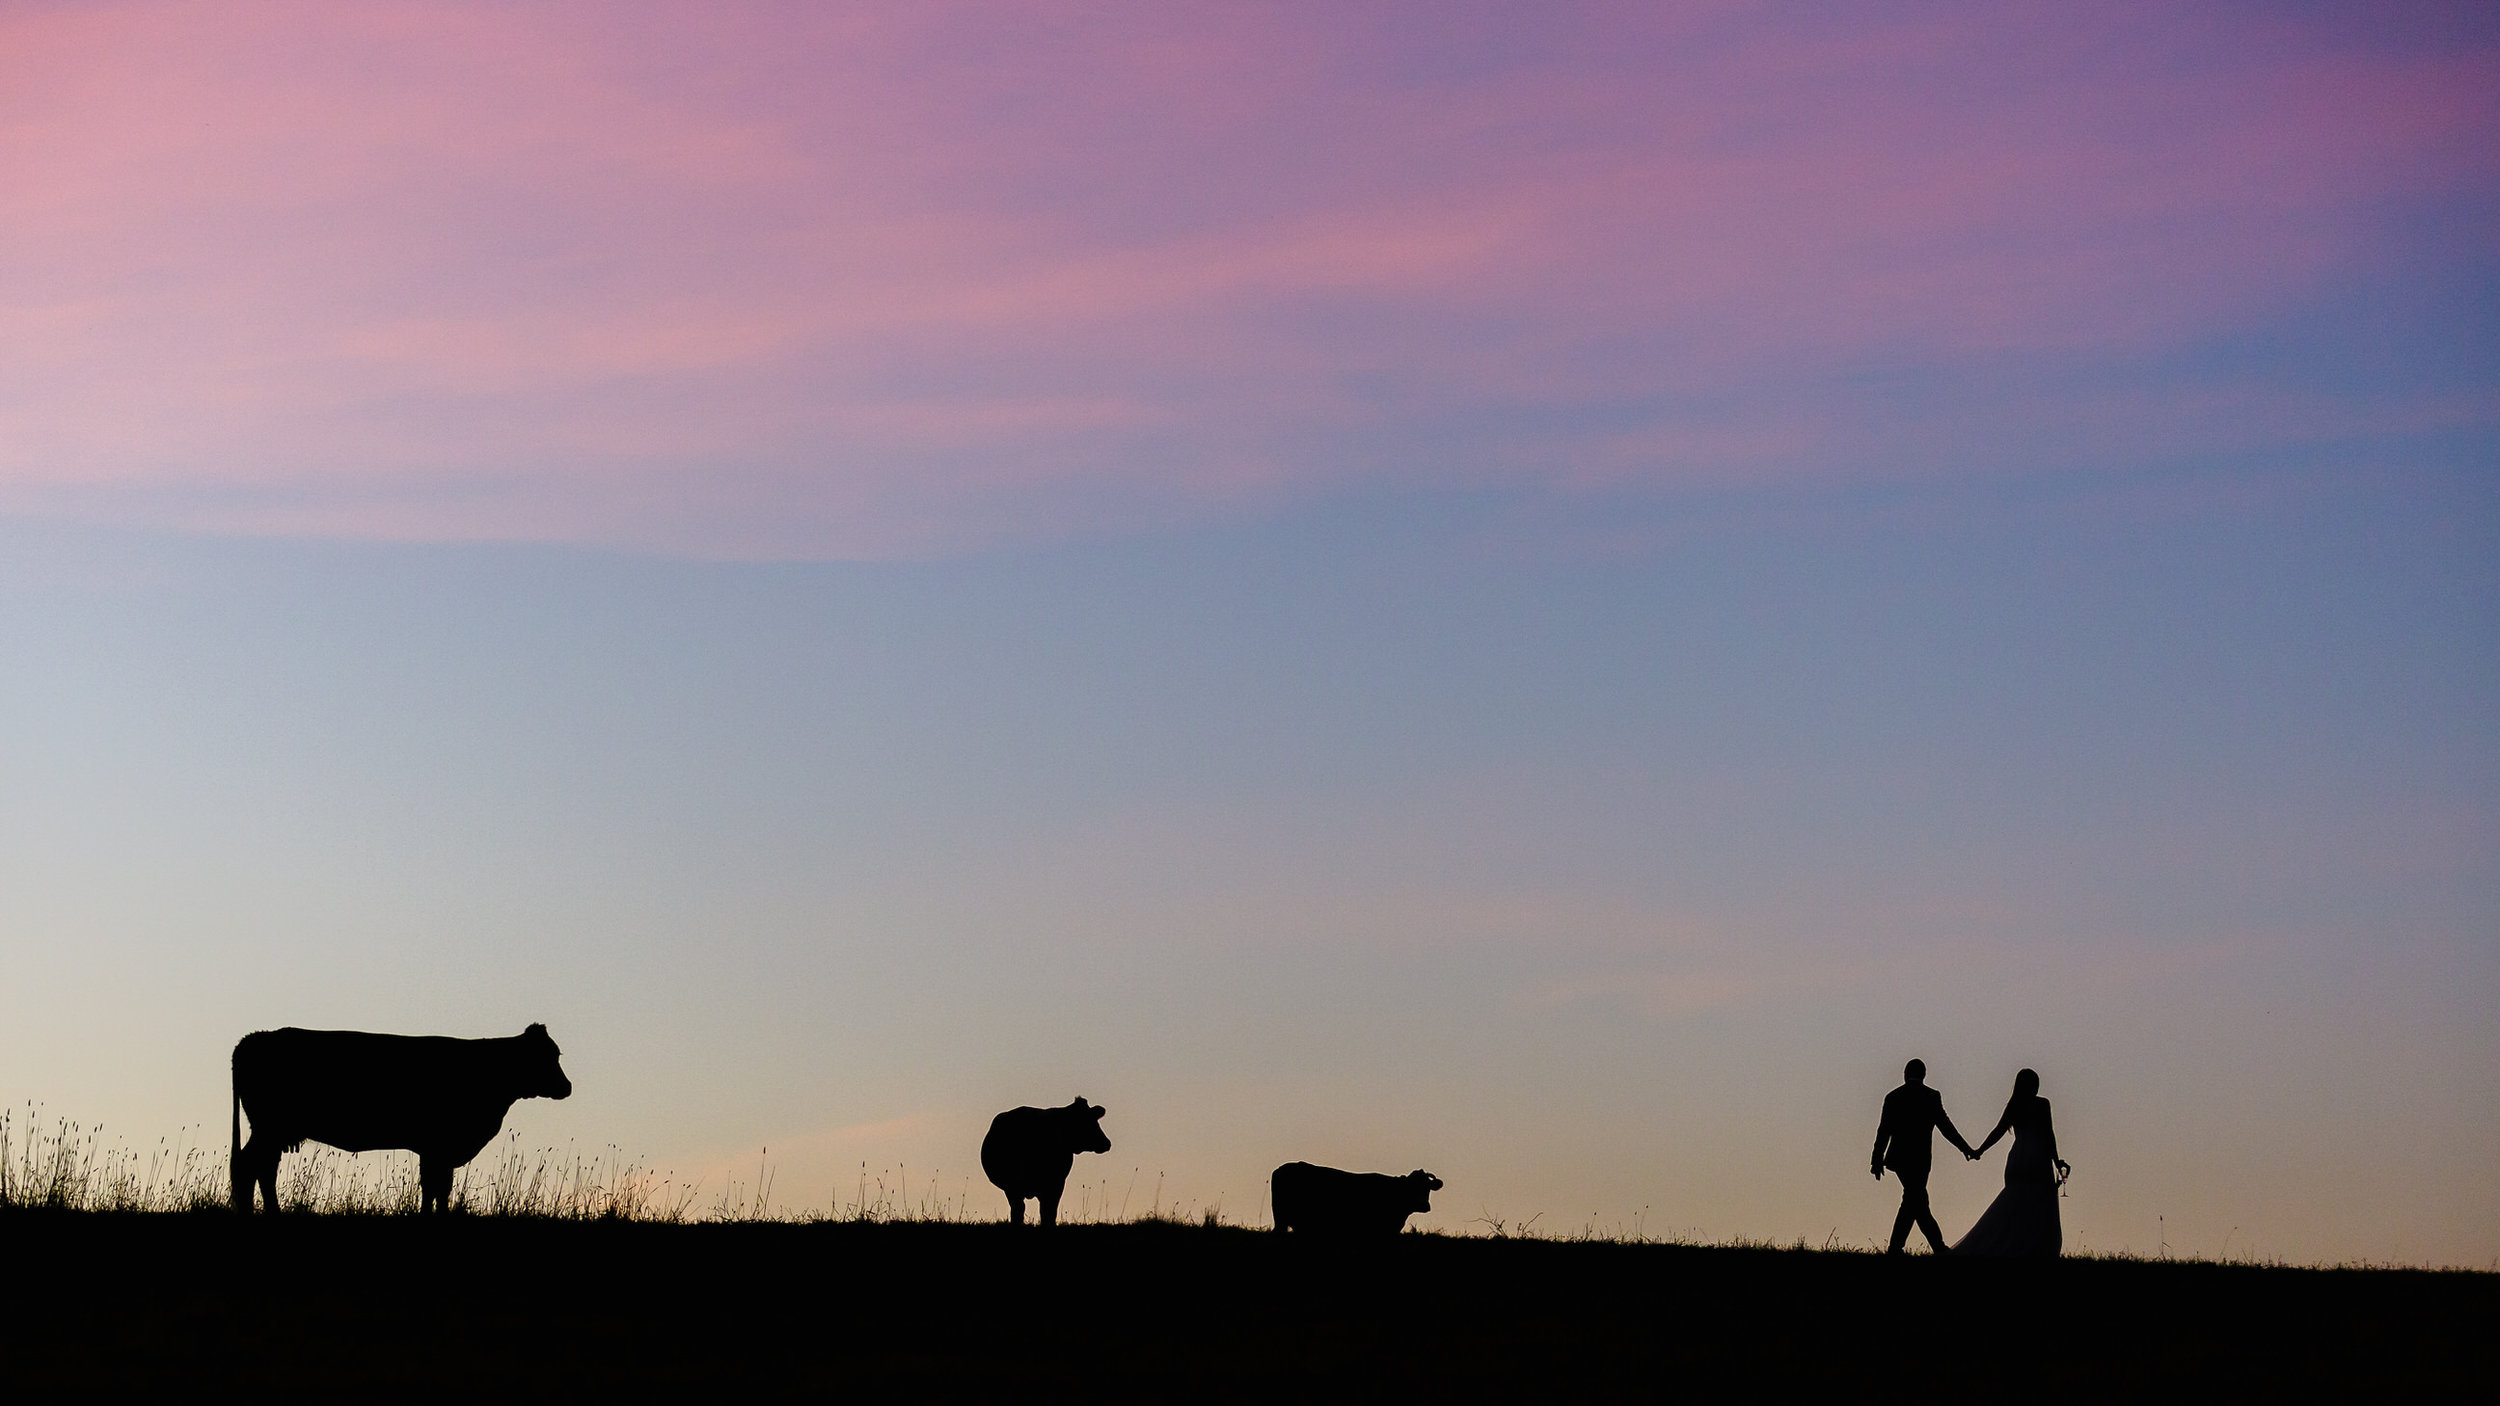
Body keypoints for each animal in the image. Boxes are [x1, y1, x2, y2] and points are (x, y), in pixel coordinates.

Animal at [230, 1015, 572, 1205]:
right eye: (549, 1056)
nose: (566, 1087)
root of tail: (253, 1038)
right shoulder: (439, 1146)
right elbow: (437, 1187)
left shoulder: (435, 1150)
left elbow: (436, 1188)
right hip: (270, 1128)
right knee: (250, 1167)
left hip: (270, 1131)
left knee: (261, 1169)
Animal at [975, 1090, 1115, 1220]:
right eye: (1087, 1122)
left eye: (1094, 1120)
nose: (1107, 1143)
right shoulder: (1013, 1186)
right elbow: (1020, 1210)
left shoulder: (1056, 1183)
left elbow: (1048, 1211)